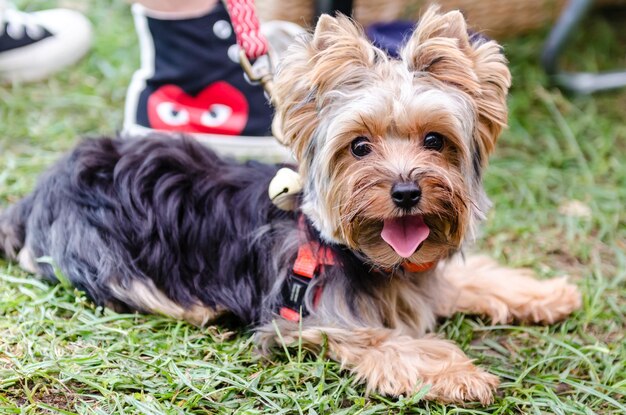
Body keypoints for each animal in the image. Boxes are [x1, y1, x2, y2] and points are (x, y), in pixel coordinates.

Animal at [0, 7, 576, 404]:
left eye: (435, 140)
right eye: (359, 147)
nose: (406, 192)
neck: (363, 255)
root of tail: (36, 195)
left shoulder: (419, 274)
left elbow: (471, 277)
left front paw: (544, 293)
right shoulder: (314, 319)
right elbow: (391, 343)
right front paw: (459, 372)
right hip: (100, 250)